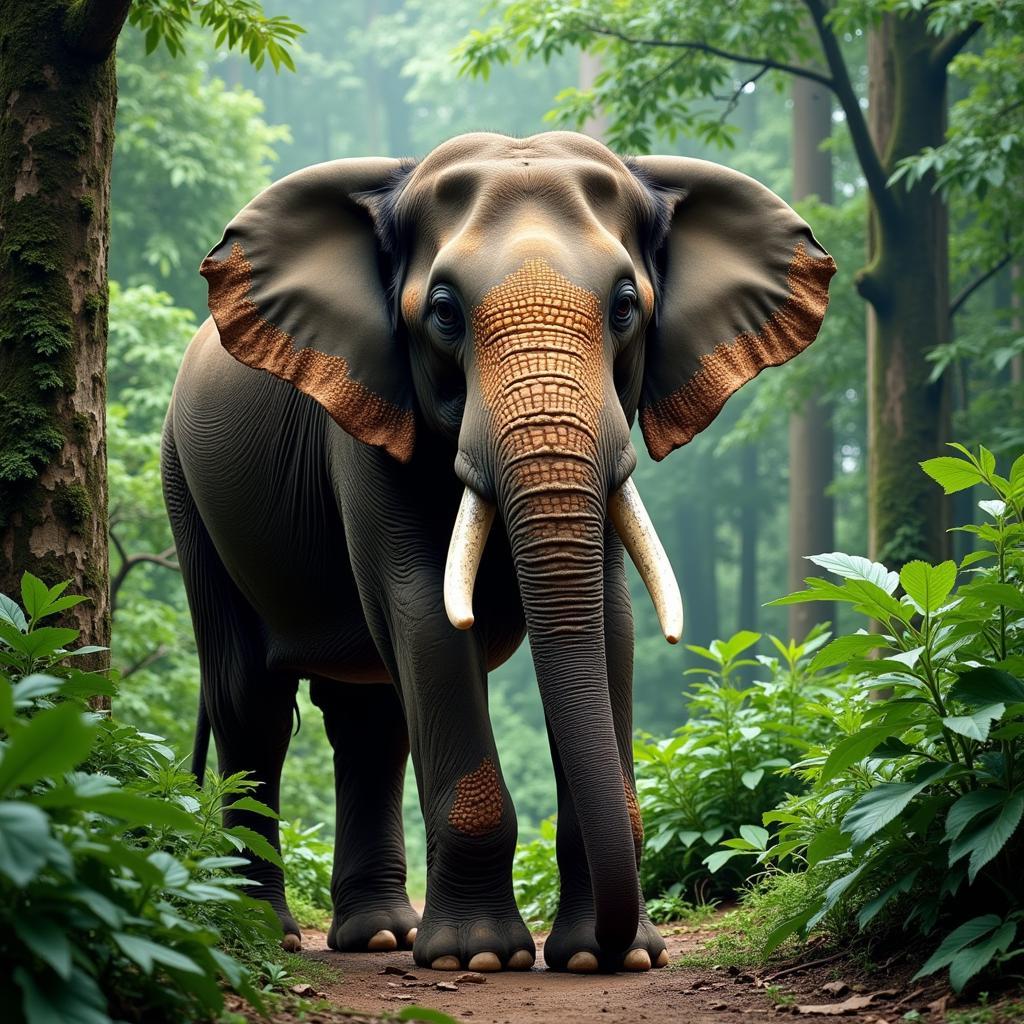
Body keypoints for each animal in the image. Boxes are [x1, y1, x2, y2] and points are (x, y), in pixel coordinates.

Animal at [159, 130, 831, 974]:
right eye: (444, 313)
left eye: (625, 306)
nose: (618, 944)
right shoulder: (363, 426)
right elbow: (423, 613)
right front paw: (476, 958)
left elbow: (608, 622)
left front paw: (602, 958)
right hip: (185, 489)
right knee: (253, 704)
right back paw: (267, 932)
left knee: (370, 718)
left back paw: (379, 936)